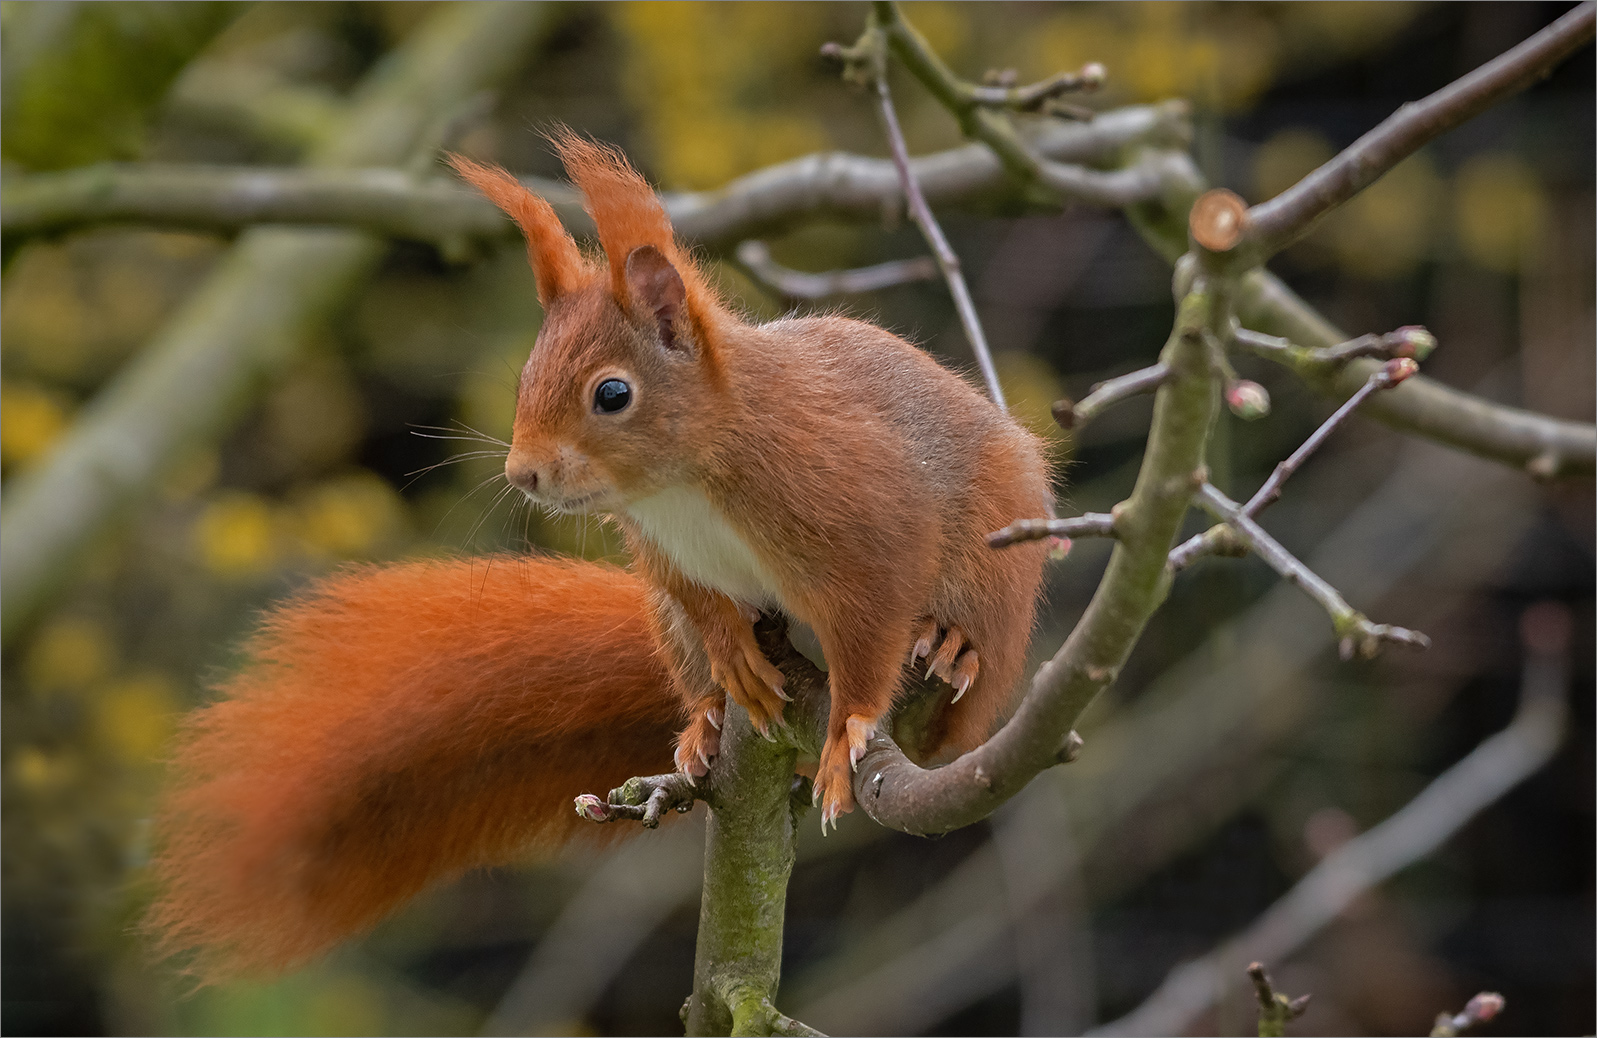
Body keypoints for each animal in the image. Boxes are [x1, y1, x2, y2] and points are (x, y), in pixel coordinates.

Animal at [146, 133, 1047, 977]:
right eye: (524, 378)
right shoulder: (667, 558)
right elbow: (703, 602)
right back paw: (705, 717)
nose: (523, 472)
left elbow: (872, 624)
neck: (685, 479)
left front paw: (847, 732)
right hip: (666, 630)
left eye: (612, 394)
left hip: (994, 564)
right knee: (696, 666)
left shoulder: (863, 522)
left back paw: (952, 647)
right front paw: (732, 658)